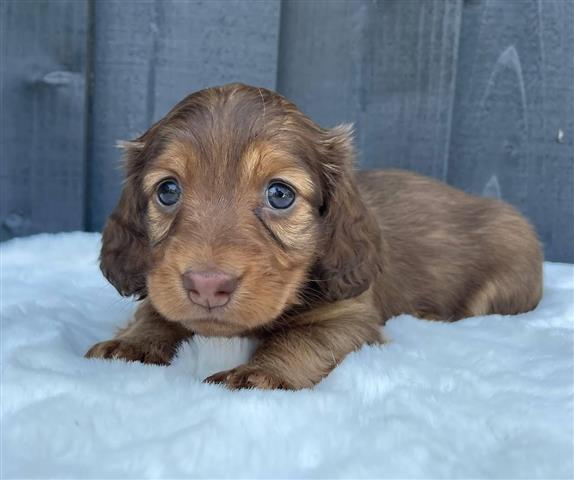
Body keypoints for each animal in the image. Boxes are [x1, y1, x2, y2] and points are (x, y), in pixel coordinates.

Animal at [85, 82, 544, 390]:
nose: (207, 286)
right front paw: (132, 343)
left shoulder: (349, 318)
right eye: (168, 190)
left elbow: (303, 338)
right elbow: (157, 311)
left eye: (280, 194)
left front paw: (260, 372)